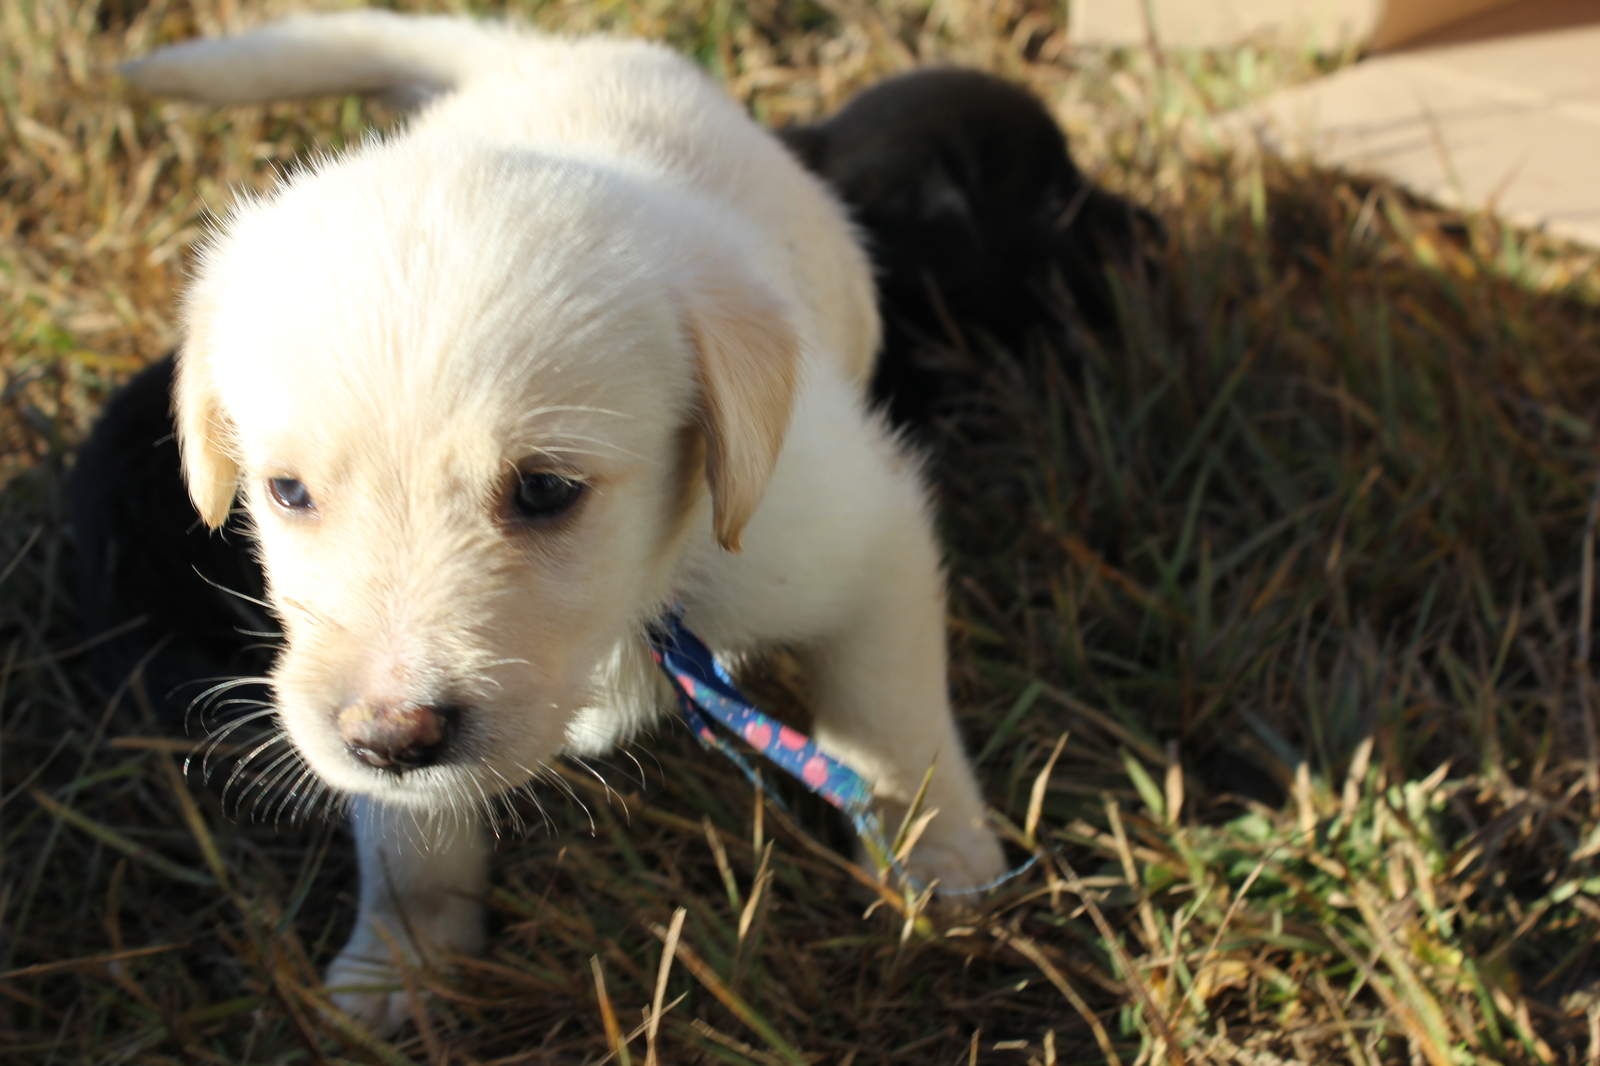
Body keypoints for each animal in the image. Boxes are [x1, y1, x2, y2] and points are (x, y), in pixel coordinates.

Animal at [118, 6, 1011, 1024]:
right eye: (287, 492)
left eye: (545, 490)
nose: (387, 740)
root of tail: (539, 51)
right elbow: (409, 841)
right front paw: (403, 957)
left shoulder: (860, 538)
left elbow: (891, 726)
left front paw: (940, 865)